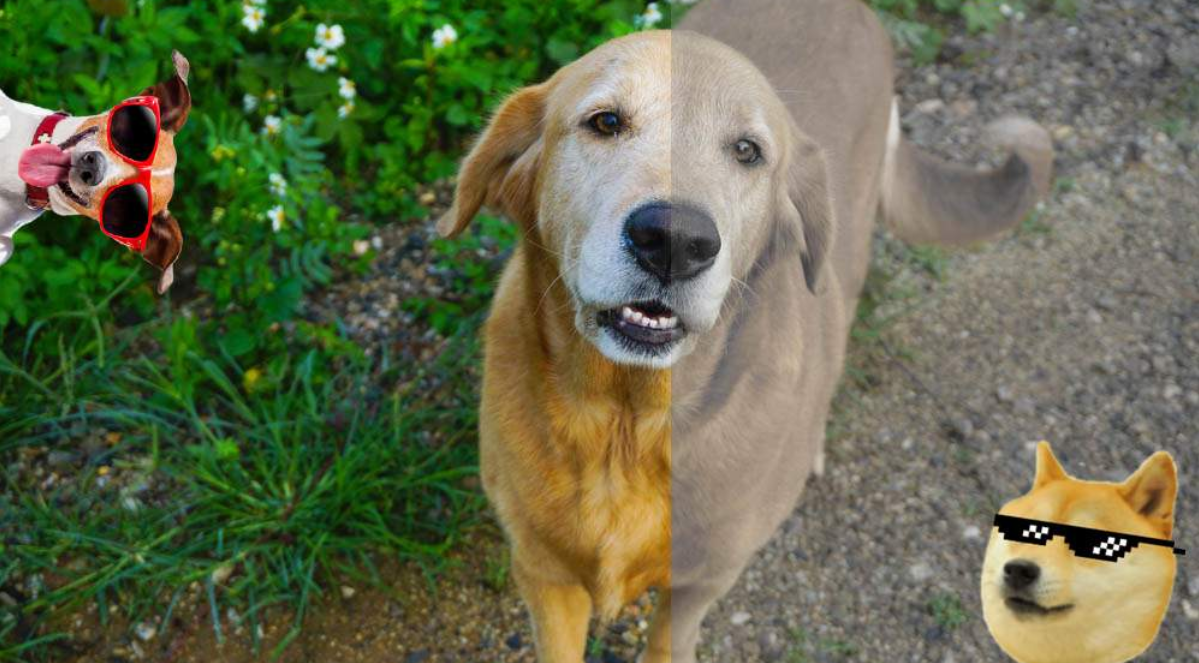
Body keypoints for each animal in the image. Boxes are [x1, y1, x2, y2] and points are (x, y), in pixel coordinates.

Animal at [438, 0, 1050, 657]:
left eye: (747, 151)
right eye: (605, 121)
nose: (674, 241)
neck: (626, 429)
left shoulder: (699, 583)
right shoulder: (543, 578)